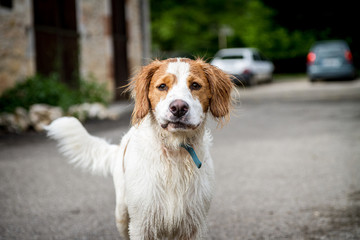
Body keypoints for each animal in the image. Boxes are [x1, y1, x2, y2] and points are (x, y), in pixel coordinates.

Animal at [46, 57, 233, 239]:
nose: (179, 108)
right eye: (162, 86)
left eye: (195, 85)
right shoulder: (141, 224)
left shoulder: (194, 224)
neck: (174, 153)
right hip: (121, 215)